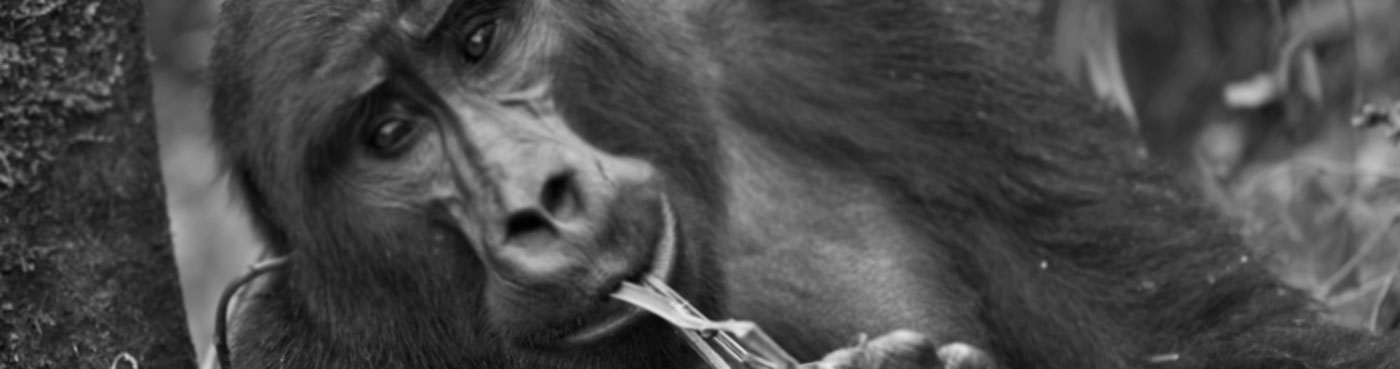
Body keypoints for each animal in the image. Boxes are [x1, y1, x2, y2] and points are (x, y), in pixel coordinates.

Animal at [207, 0, 1400, 366]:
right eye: (389, 131)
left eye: (477, 38)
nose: (535, 204)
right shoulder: (289, 343)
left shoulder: (861, 44)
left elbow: (1234, 334)